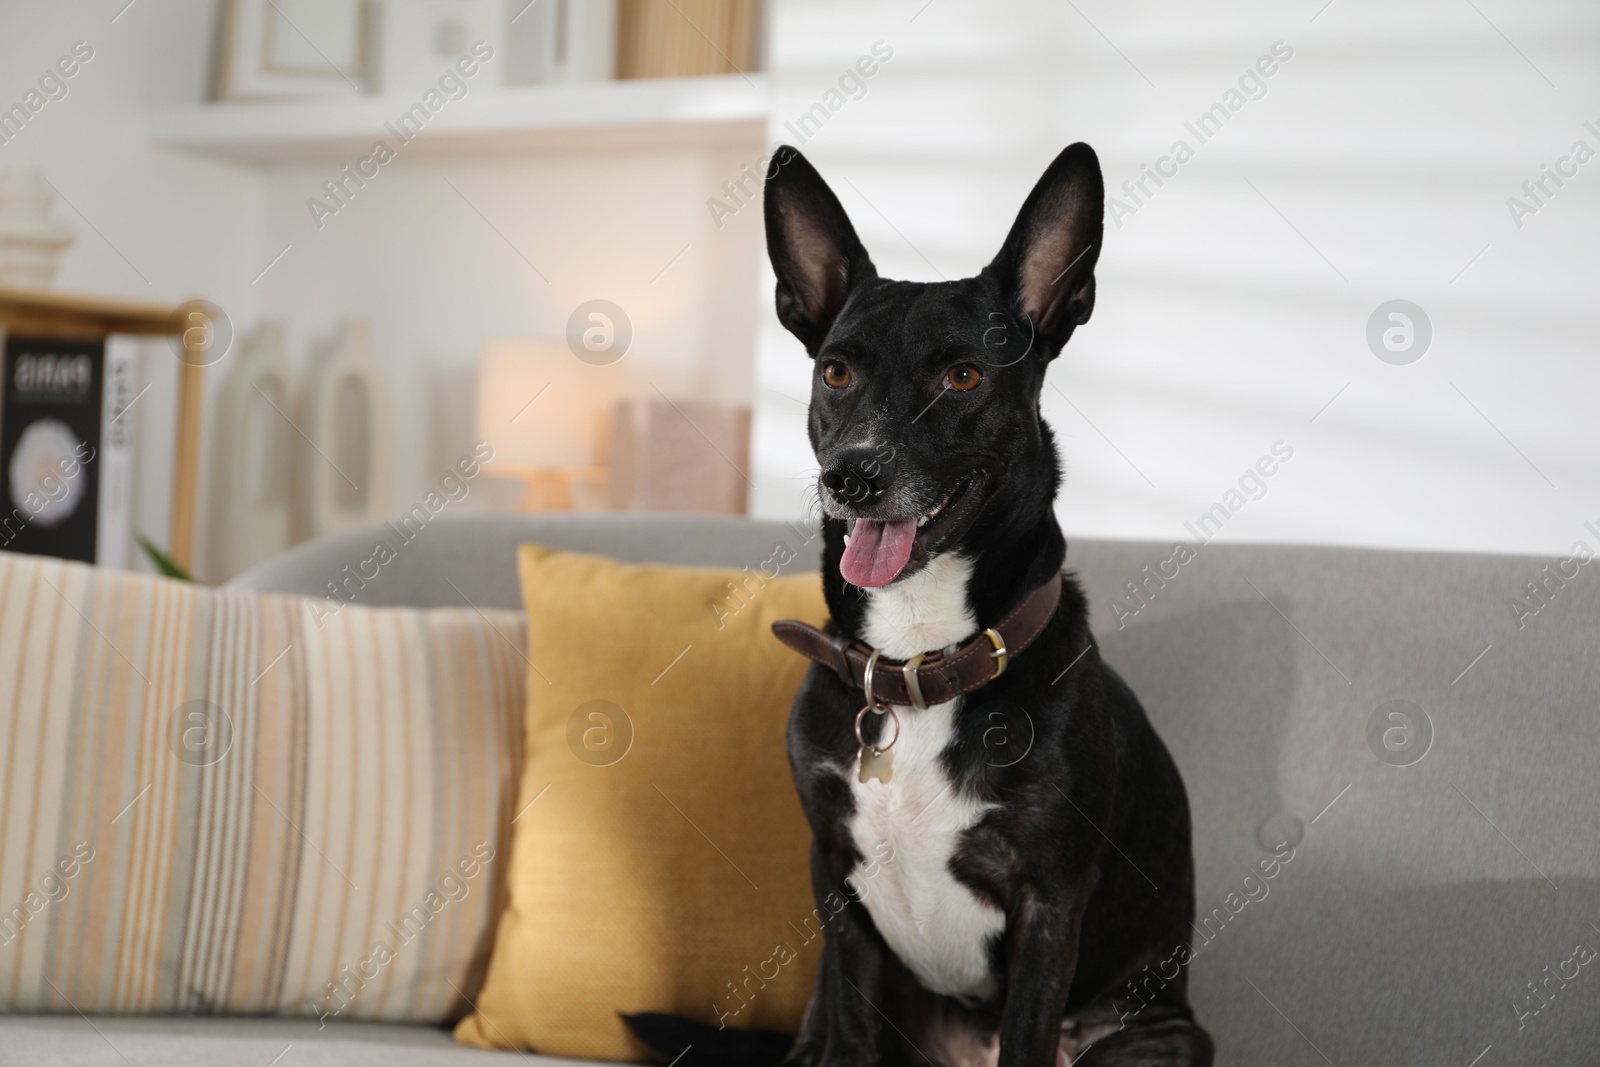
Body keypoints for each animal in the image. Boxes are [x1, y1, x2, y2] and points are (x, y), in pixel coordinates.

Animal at [761, 143, 1209, 1067]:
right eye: (835, 369)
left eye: (963, 375)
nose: (851, 476)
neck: (919, 663)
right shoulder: (835, 882)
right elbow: (851, 1029)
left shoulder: (1050, 902)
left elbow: (1030, 1031)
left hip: (1156, 1035)